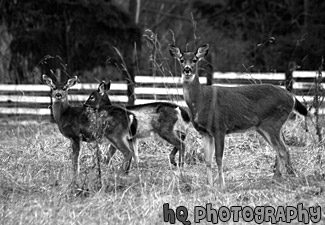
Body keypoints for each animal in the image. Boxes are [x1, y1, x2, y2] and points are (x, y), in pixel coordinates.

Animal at [168, 44, 308, 188]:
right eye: (181, 59)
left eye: (195, 59)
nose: (187, 69)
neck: (201, 99)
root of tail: (292, 97)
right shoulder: (205, 132)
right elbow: (208, 160)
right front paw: (209, 185)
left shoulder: (219, 127)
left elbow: (219, 158)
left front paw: (222, 186)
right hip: (265, 127)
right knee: (282, 149)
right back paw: (277, 178)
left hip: (272, 123)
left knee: (283, 150)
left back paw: (283, 178)